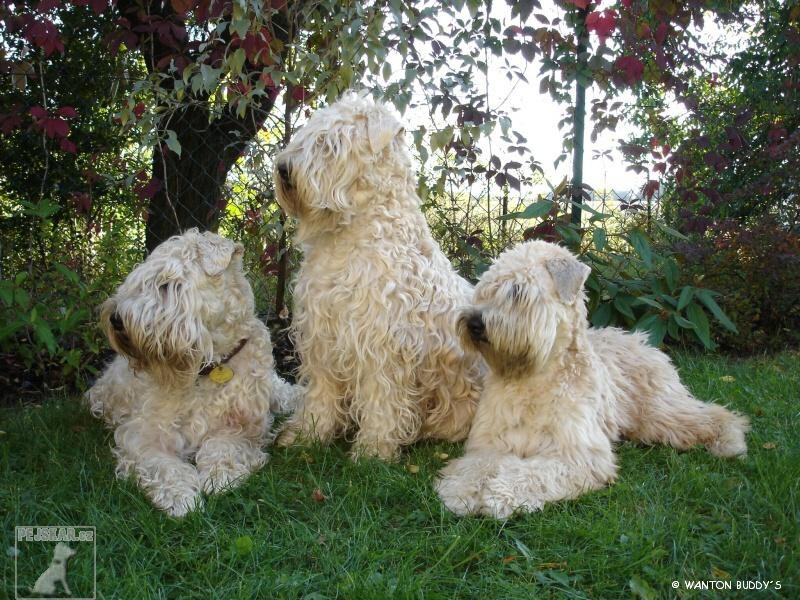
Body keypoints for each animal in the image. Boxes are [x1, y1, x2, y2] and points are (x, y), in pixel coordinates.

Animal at [87, 229, 298, 516]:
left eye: (168, 285)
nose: (116, 319)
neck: (209, 366)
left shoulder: (244, 428)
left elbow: (223, 448)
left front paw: (220, 476)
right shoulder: (143, 435)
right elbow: (163, 465)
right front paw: (179, 496)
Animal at [272, 94, 482, 460]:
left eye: (332, 143)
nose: (285, 169)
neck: (349, 234)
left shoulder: (380, 343)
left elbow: (382, 400)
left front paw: (373, 450)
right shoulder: (323, 334)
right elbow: (321, 394)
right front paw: (307, 436)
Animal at [434, 241, 748, 516]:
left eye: (518, 292)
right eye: (486, 289)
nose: (475, 323)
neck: (533, 378)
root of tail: (642, 341)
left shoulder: (577, 454)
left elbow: (533, 474)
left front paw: (500, 494)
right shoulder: (489, 444)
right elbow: (475, 467)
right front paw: (462, 490)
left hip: (660, 414)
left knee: (714, 415)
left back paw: (730, 440)